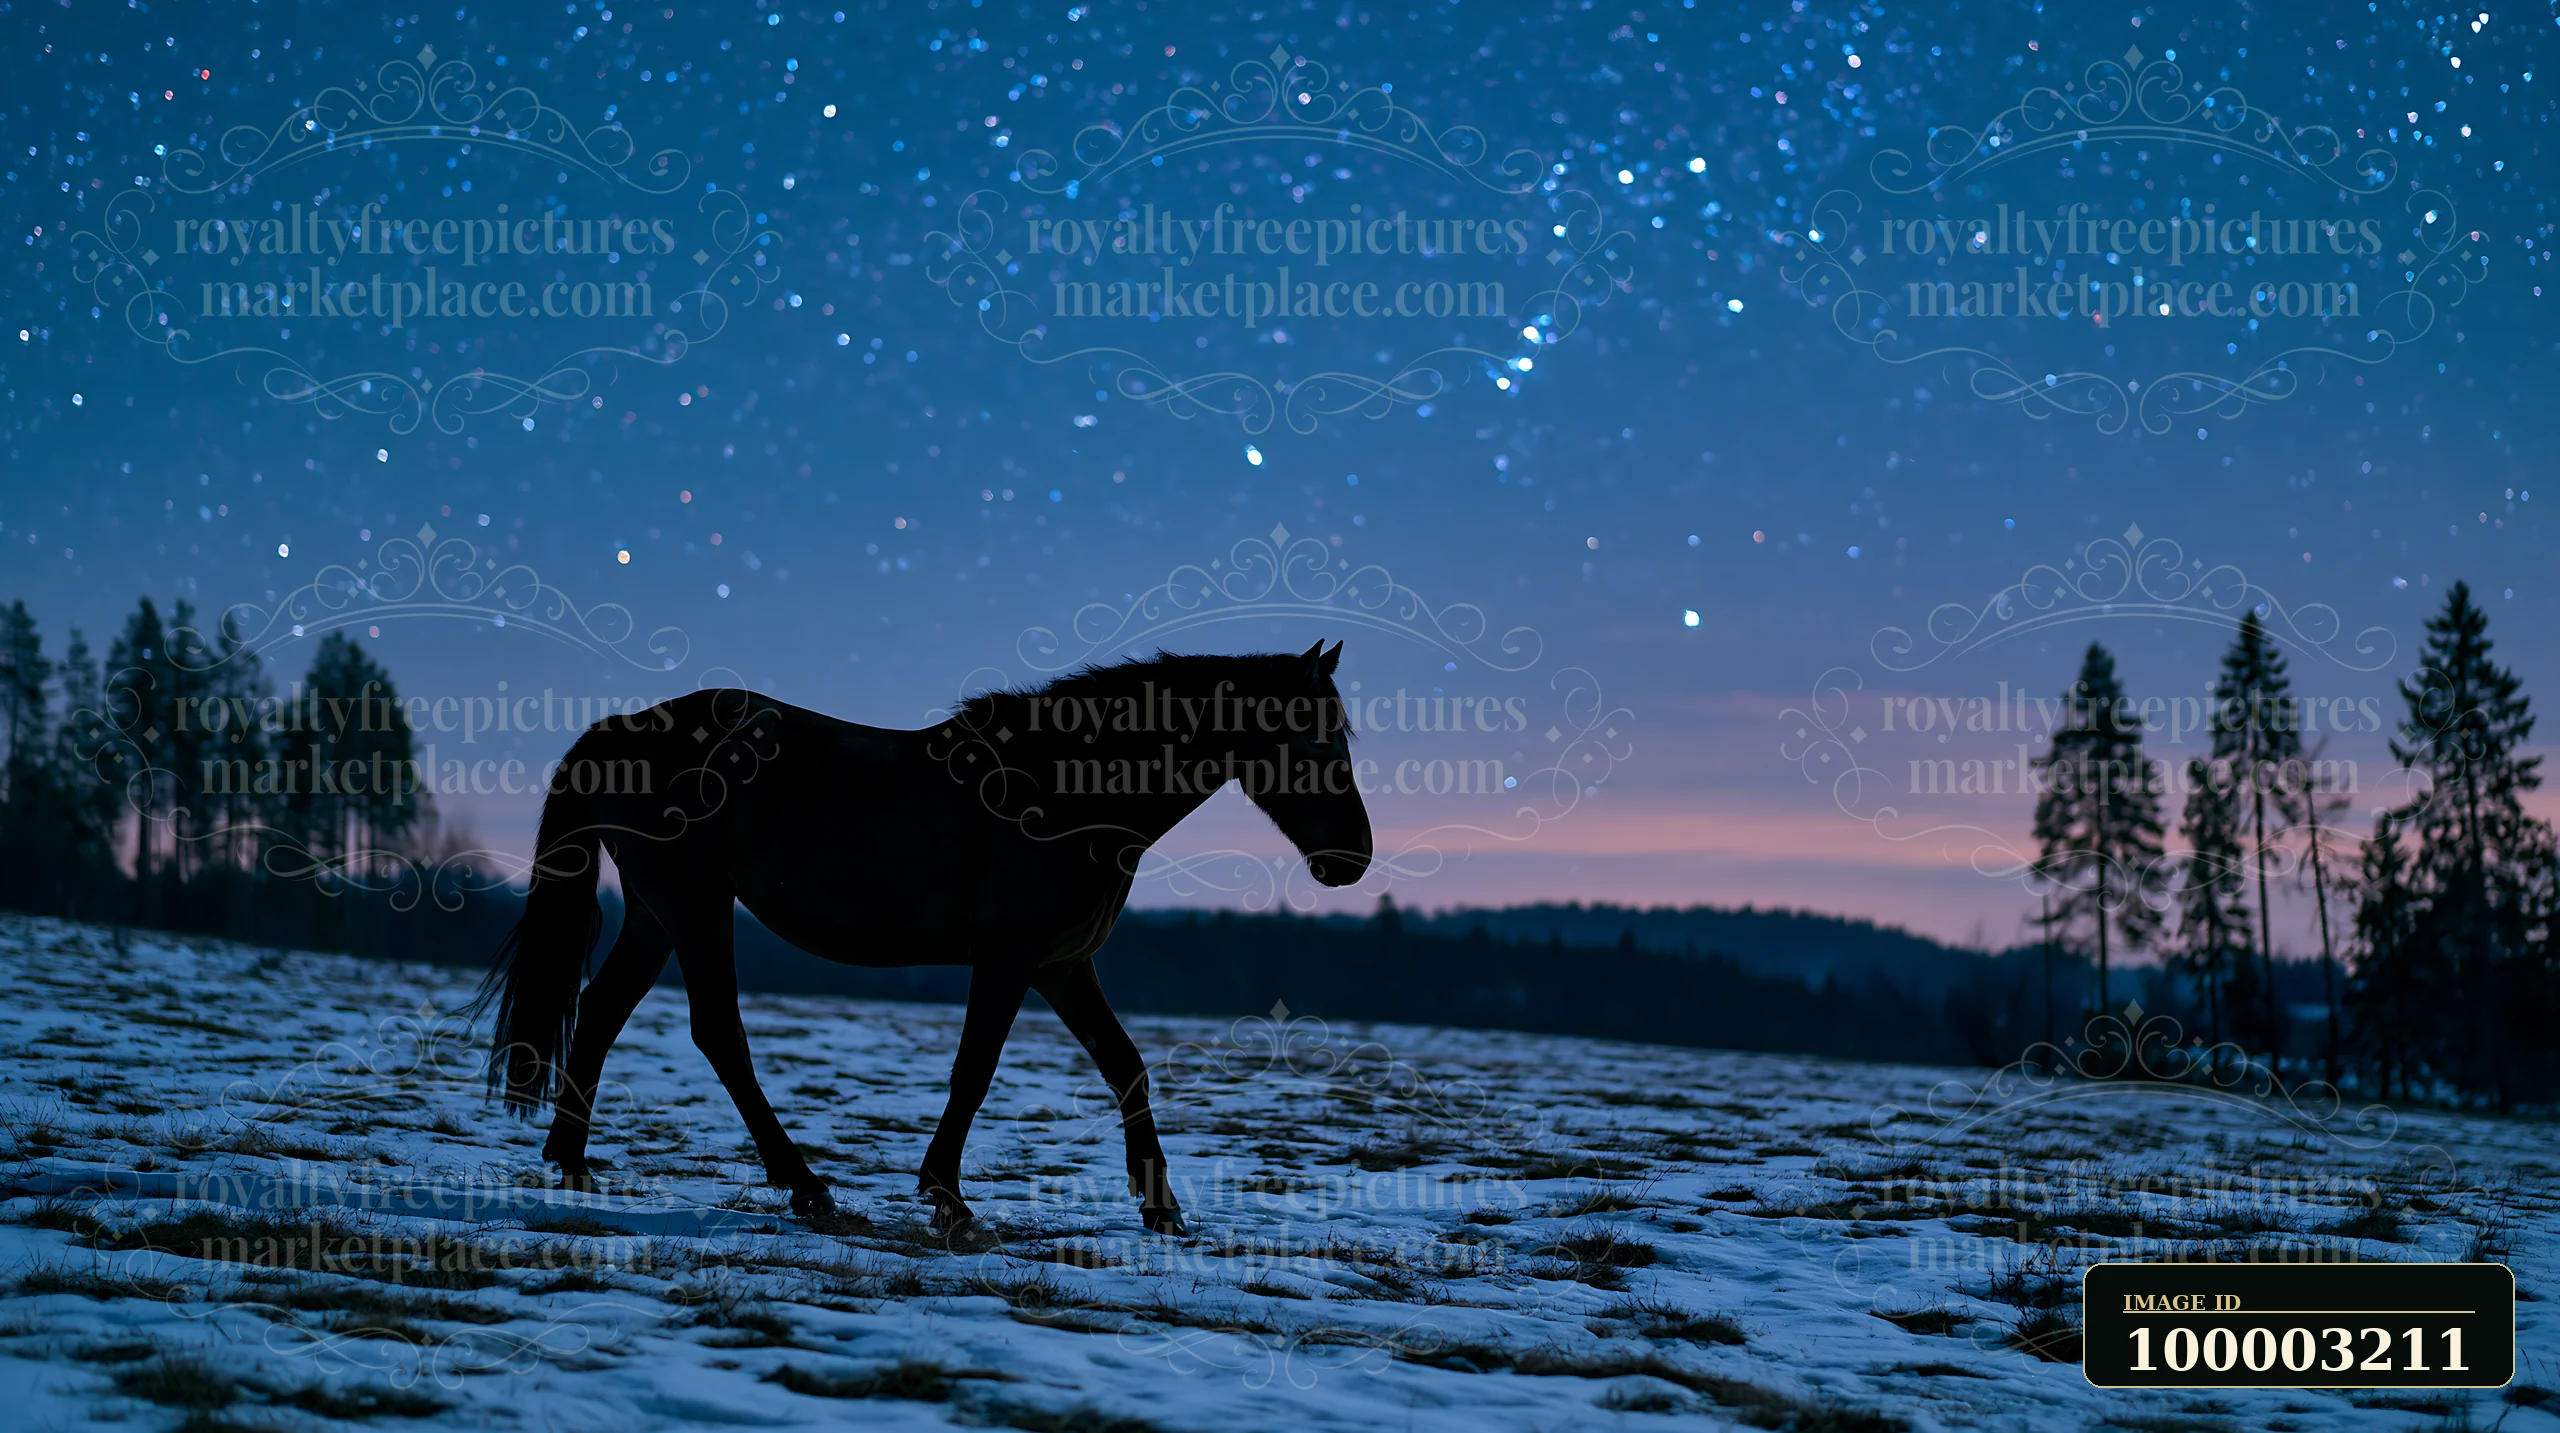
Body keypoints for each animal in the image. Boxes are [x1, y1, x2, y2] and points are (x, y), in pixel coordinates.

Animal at [475, 642, 1371, 1235]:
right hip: (695, 907)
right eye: (1313, 739)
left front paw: (1161, 1206)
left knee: (600, 1011)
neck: (1066, 789)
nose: (1354, 858)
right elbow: (974, 1070)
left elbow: (1127, 1065)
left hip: (658, 915)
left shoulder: (1064, 965)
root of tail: (625, 726)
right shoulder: (1009, 960)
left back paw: (571, 1160)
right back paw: (805, 1184)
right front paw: (947, 1193)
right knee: (718, 1032)